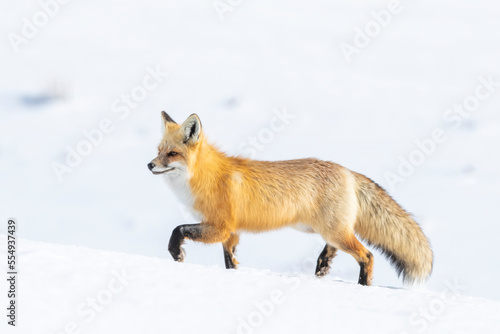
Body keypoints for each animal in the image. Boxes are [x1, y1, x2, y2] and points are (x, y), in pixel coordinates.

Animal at [148, 111, 434, 284]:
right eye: (159, 150)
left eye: (172, 154)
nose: (149, 165)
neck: (205, 177)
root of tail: (348, 171)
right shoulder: (233, 232)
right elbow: (230, 260)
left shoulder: (220, 226)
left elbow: (178, 229)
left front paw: (177, 254)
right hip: (327, 230)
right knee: (334, 249)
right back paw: (322, 269)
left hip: (333, 231)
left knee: (367, 256)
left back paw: (363, 285)